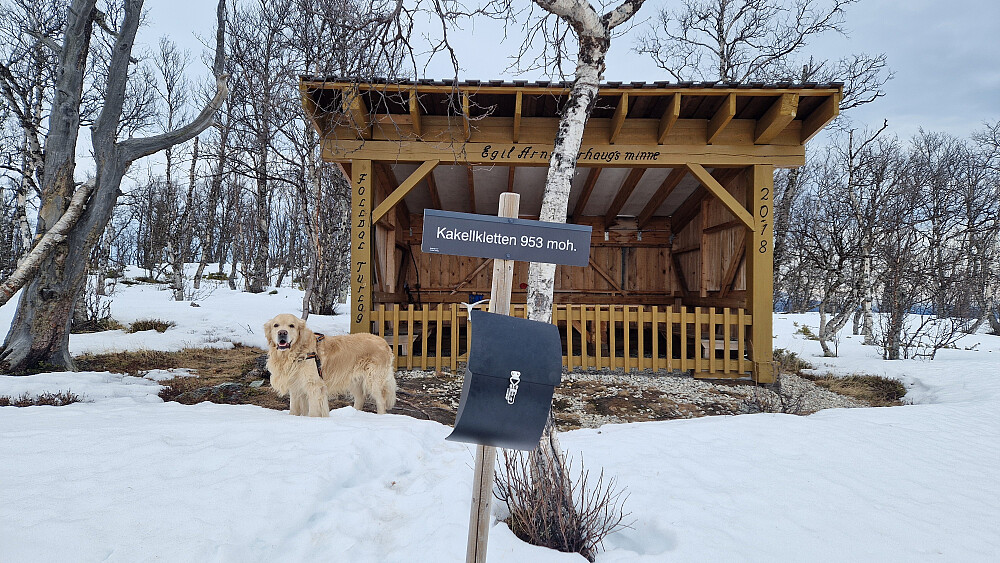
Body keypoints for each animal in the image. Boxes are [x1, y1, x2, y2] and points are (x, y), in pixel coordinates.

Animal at [263, 313, 397, 417]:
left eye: (292, 325)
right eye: (276, 325)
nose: (282, 333)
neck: (296, 352)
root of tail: (384, 342)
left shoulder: (314, 386)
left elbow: (313, 411)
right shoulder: (296, 386)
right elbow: (294, 409)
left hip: (373, 379)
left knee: (381, 401)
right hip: (355, 380)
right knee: (360, 398)